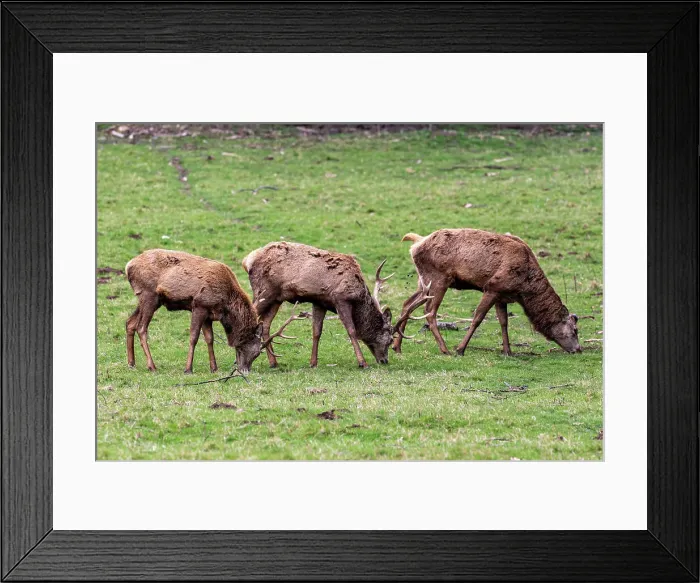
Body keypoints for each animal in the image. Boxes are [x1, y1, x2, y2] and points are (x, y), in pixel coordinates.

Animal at [125, 249, 306, 375]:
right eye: (254, 352)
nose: (244, 370)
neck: (226, 305)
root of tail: (128, 266)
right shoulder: (198, 305)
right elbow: (193, 337)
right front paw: (188, 369)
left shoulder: (209, 313)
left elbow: (209, 339)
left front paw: (214, 367)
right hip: (149, 295)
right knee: (141, 327)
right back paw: (151, 366)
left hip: (149, 299)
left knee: (130, 323)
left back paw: (131, 363)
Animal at [242, 241, 431, 369]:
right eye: (390, 339)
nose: (384, 360)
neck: (358, 295)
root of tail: (247, 260)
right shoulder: (340, 299)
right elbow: (352, 330)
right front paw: (362, 362)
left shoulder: (320, 301)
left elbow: (317, 332)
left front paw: (313, 362)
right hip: (264, 291)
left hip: (276, 298)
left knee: (264, 324)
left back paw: (274, 362)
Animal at [392, 229, 583, 356]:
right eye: (575, 330)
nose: (578, 349)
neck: (524, 289)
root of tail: (416, 243)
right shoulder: (492, 287)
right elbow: (478, 318)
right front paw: (460, 349)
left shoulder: (502, 296)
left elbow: (504, 322)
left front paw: (508, 351)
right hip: (439, 279)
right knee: (430, 311)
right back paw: (445, 349)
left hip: (423, 282)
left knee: (407, 304)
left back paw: (397, 346)